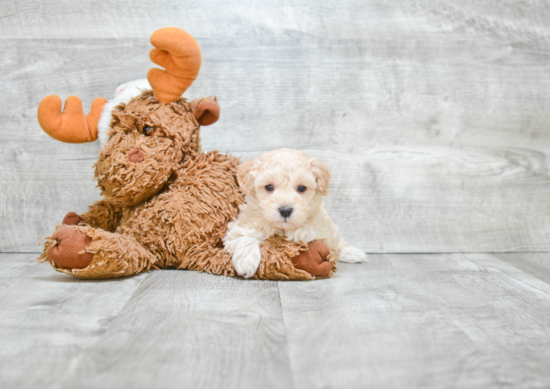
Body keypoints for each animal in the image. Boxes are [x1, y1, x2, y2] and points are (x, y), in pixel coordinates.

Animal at [222, 147, 368, 278]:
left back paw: (352, 253)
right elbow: (243, 236)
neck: (281, 229)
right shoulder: (238, 228)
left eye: (302, 188)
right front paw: (246, 261)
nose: (285, 210)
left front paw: (300, 231)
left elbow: (316, 231)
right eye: (269, 187)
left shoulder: (323, 227)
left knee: (337, 243)